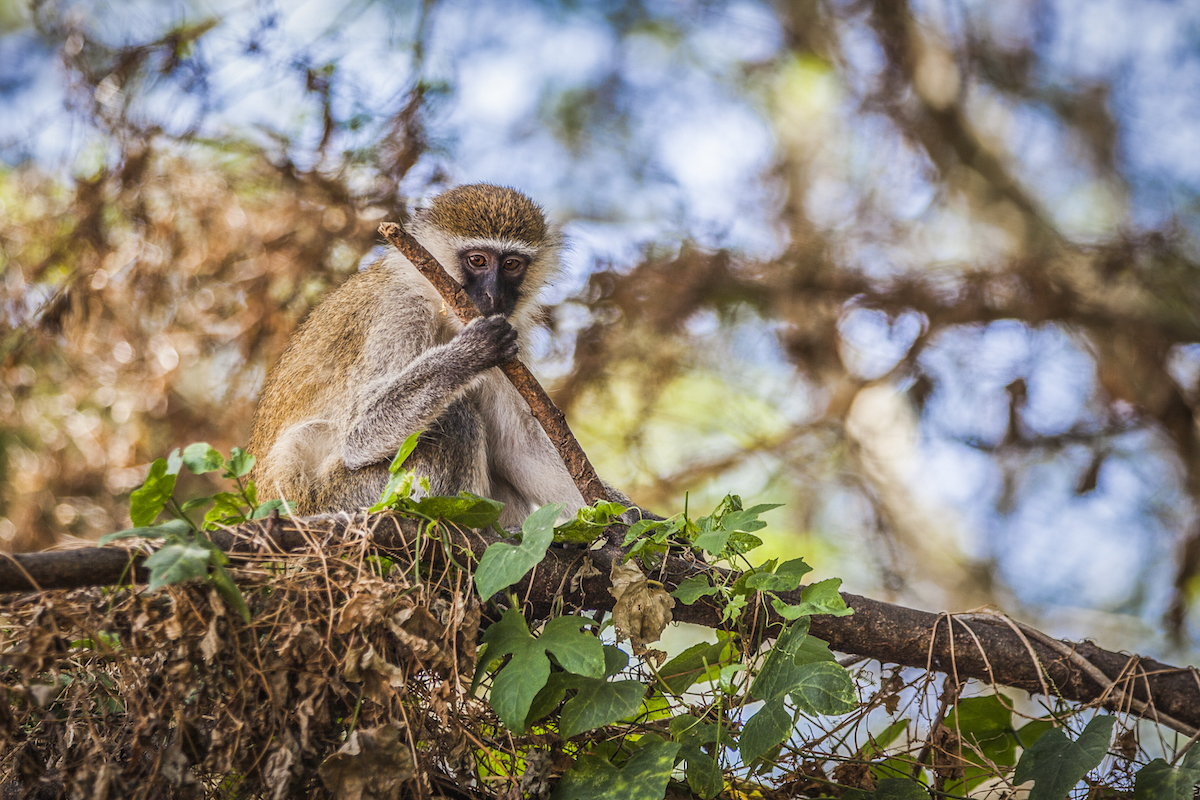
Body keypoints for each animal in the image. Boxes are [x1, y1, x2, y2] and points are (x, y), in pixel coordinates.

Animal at [244, 184, 619, 527]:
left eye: (512, 264)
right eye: (478, 260)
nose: (493, 295)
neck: (440, 307)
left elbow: (521, 449)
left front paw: (625, 519)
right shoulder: (399, 311)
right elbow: (358, 433)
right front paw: (469, 353)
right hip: (343, 497)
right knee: (455, 418)